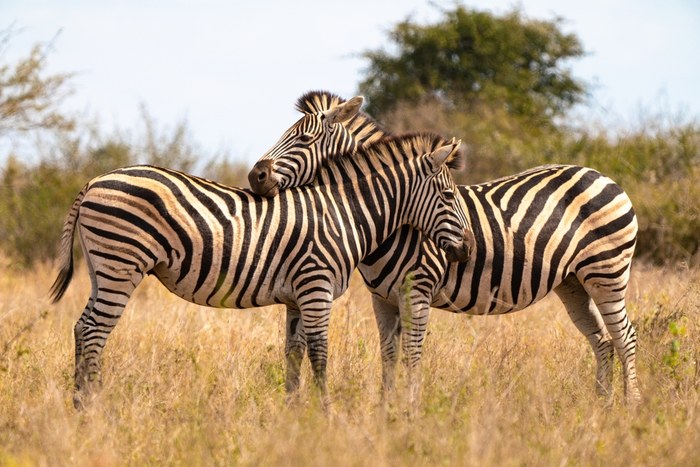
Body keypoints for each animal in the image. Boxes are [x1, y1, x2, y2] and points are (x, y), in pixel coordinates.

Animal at [50, 132, 472, 409]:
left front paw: (295, 416)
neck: (343, 213)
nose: (467, 249)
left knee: (82, 327)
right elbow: (320, 354)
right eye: (448, 195)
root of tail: (94, 180)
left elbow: (294, 355)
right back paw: (94, 407)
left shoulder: (298, 297)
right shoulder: (316, 286)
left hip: (101, 269)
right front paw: (325, 415)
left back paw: (81, 405)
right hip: (120, 265)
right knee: (94, 331)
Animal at [247, 90, 642, 404]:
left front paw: (409, 412)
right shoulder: (381, 298)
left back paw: (630, 406)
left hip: (606, 271)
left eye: (304, 139)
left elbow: (412, 355)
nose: (255, 176)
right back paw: (602, 404)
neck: (396, 219)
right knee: (602, 340)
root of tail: (602, 175)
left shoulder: (418, 292)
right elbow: (388, 355)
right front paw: (385, 412)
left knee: (625, 337)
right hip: (573, 282)